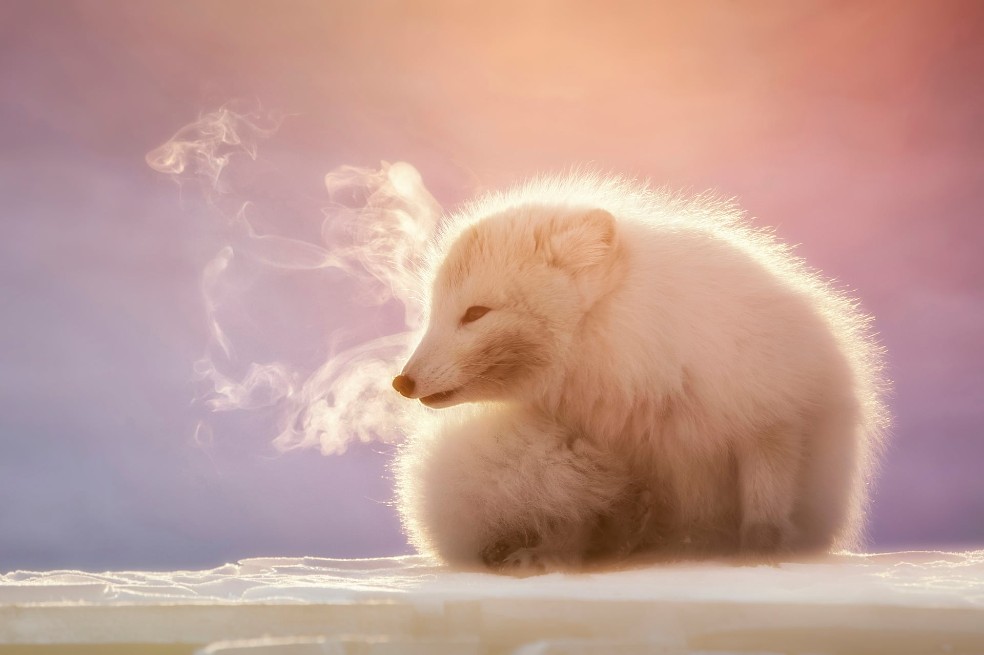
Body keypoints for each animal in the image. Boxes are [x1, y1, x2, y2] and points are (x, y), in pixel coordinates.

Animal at [391, 173, 889, 572]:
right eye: (433, 311)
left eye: (475, 313)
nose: (401, 382)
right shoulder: (606, 448)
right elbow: (580, 520)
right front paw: (559, 553)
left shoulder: (771, 417)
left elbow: (764, 502)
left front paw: (758, 553)